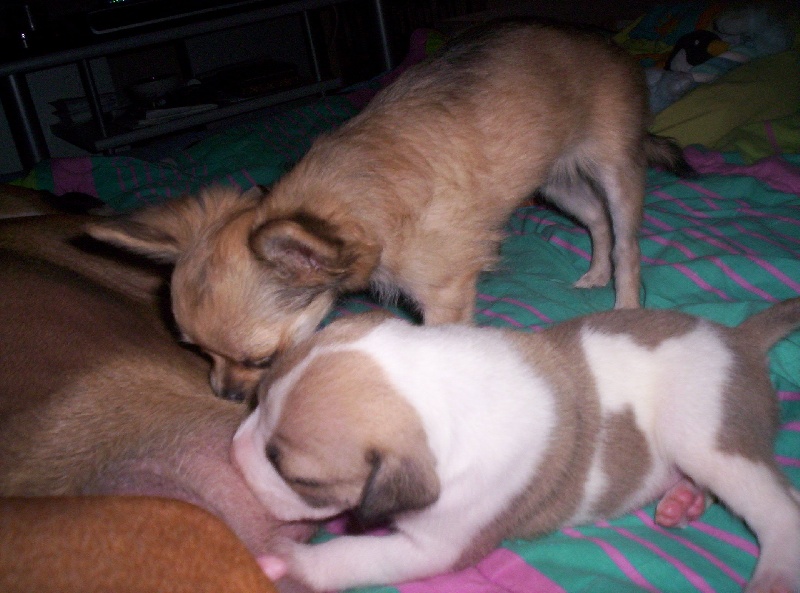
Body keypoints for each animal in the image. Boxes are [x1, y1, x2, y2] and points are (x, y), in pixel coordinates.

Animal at [87, 19, 690, 401]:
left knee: (627, 241)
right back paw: (593, 273)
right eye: (196, 353)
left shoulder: (444, 297)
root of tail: (607, 42)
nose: (225, 396)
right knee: (596, 222)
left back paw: (624, 303)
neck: (340, 204)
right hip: (554, 181)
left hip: (613, 168)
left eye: (259, 362)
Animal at [232, 303, 800, 592]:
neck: (441, 388)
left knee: (778, 507)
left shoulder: (436, 545)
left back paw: (774, 571)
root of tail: (739, 339)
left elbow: (353, 555)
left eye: (296, 475)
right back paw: (683, 500)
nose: (234, 452)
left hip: (706, 437)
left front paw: (287, 563)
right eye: (256, 400)